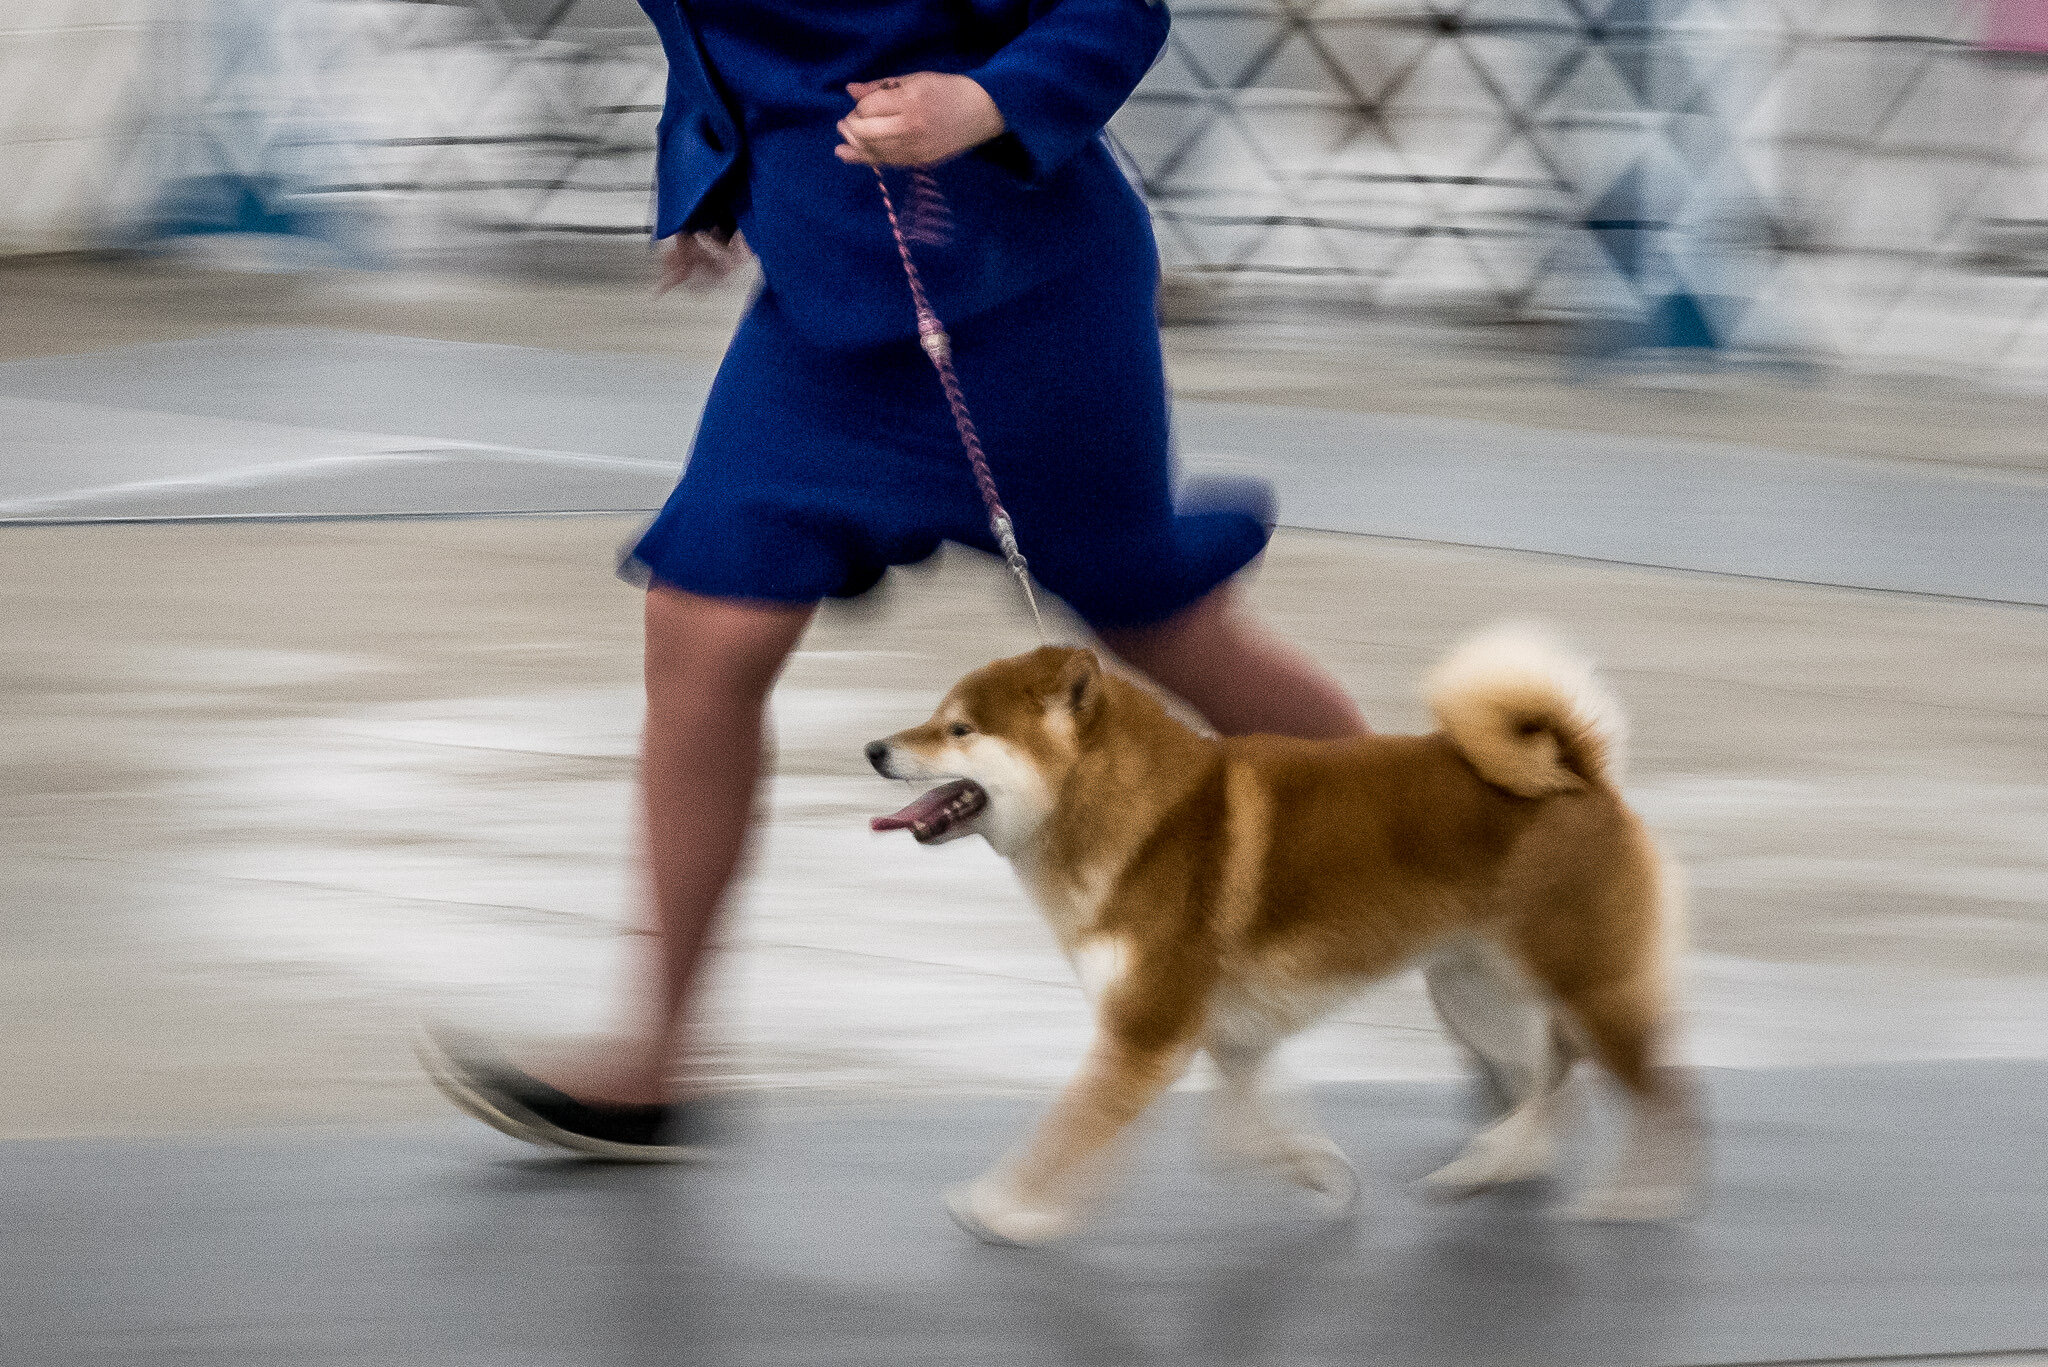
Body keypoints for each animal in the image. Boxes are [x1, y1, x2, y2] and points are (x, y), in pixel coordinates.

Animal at [872, 631, 1703, 1254]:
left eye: (959, 729)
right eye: (939, 717)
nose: (876, 747)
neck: (1135, 814)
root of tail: (1582, 775)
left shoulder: (1145, 1032)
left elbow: (1065, 1134)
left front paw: (1003, 1208)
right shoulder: (1225, 1034)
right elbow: (1252, 1129)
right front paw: (1318, 1171)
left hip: (1583, 987)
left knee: (1660, 1091)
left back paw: (1635, 1198)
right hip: (1475, 992)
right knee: (1553, 1081)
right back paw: (1489, 1165)